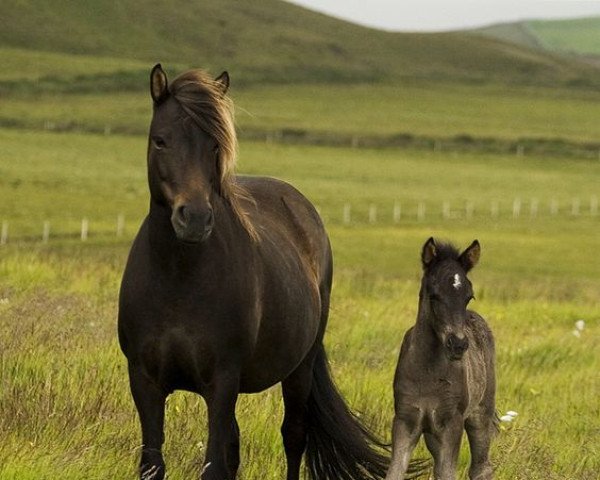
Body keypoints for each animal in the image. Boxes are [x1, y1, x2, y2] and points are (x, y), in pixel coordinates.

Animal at [119, 65, 396, 480]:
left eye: (215, 145)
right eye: (160, 141)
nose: (194, 218)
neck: (178, 279)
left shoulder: (221, 383)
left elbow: (214, 465)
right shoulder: (145, 382)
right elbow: (154, 463)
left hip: (299, 369)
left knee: (294, 436)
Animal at [384, 239, 496, 480]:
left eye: (469, 297)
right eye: (434, 295)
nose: (458, 345)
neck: (427, 372)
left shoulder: (451, 423)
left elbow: (447, 473)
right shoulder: (405, 419)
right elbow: (395, 471)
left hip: (481, 411)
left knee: (481, 467)